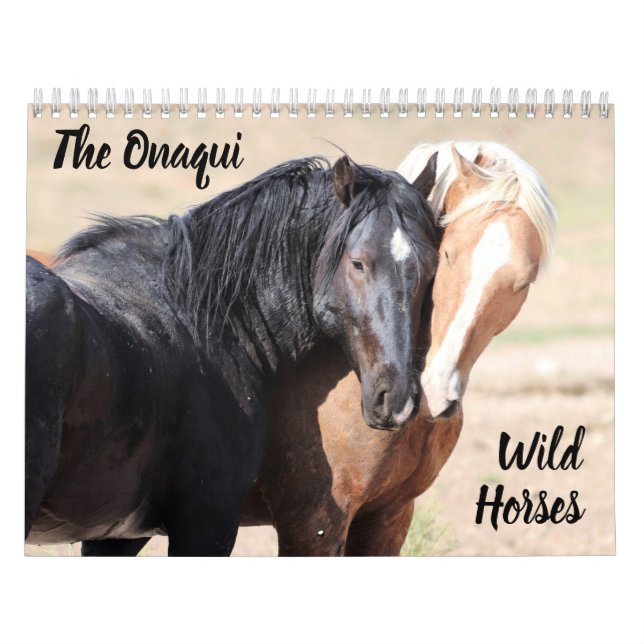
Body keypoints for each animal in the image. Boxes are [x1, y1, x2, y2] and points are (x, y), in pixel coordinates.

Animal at [26, 154, 441, 556]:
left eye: (430, 269)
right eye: (358, 263)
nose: (397, 400)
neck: (205, 321)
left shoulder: (116, 536)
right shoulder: (207, 524)